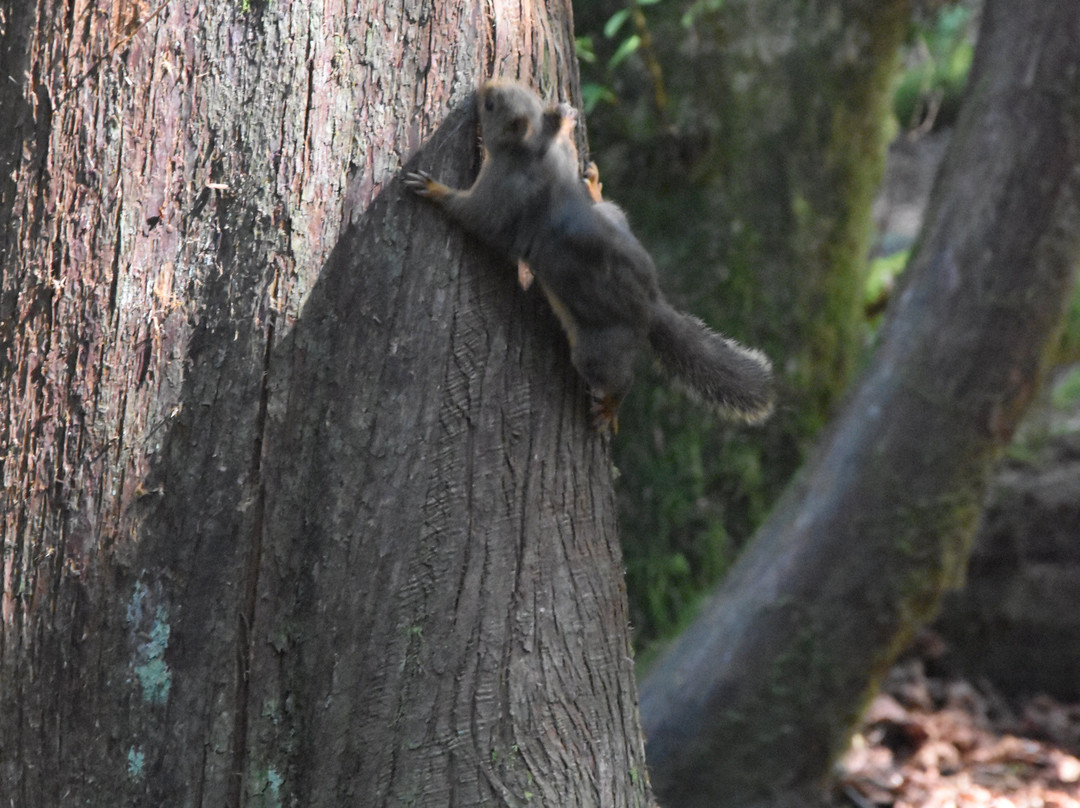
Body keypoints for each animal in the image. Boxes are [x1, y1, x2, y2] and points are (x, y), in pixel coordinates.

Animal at [406, 79, 777, 432]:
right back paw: (595, 188)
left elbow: (476, 217)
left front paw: (433, 189)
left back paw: (610, 407)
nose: (484, 88)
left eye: (491, 105)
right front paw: (567, 120)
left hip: (596, 351)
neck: (533, 151)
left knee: (620, 378)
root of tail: (649, 307)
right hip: (614, 219)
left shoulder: (504, 192)